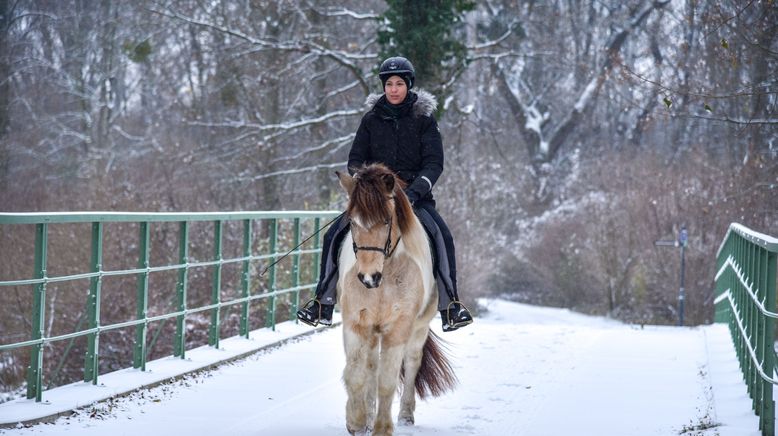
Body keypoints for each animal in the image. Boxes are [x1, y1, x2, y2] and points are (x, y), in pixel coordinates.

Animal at [334, 164, 454, 436]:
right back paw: (367, 416)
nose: (368, 278)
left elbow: (387, 381)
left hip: (419, 328)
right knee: (370, 366)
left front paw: (382, 428)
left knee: (411, 363)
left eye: (387, 220)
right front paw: (356, 422)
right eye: (352, 222)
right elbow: (355, 374)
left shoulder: (398, 327)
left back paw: (405, 416)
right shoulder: (356, 323)